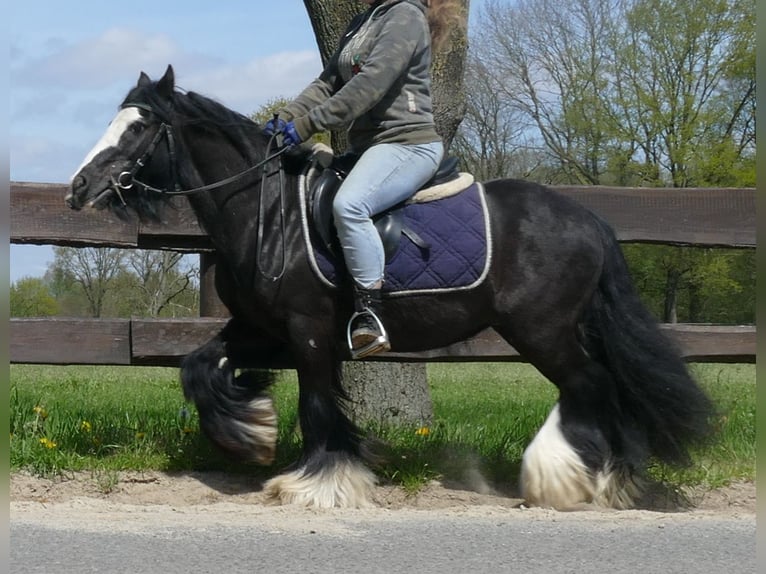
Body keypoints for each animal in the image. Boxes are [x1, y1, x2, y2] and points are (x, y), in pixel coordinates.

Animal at [64, 65, 712, 510]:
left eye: (139, 127)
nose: (78, 189)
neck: (268, 213)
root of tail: (588, 220)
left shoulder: (307, 331)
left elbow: (316, 402)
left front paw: (318, 482)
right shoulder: (259, 329)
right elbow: (199, 368)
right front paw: (251, 435)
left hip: (541, 330)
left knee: (589, 384)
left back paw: (563, 475)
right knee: (605, 386)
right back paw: (614, 478)